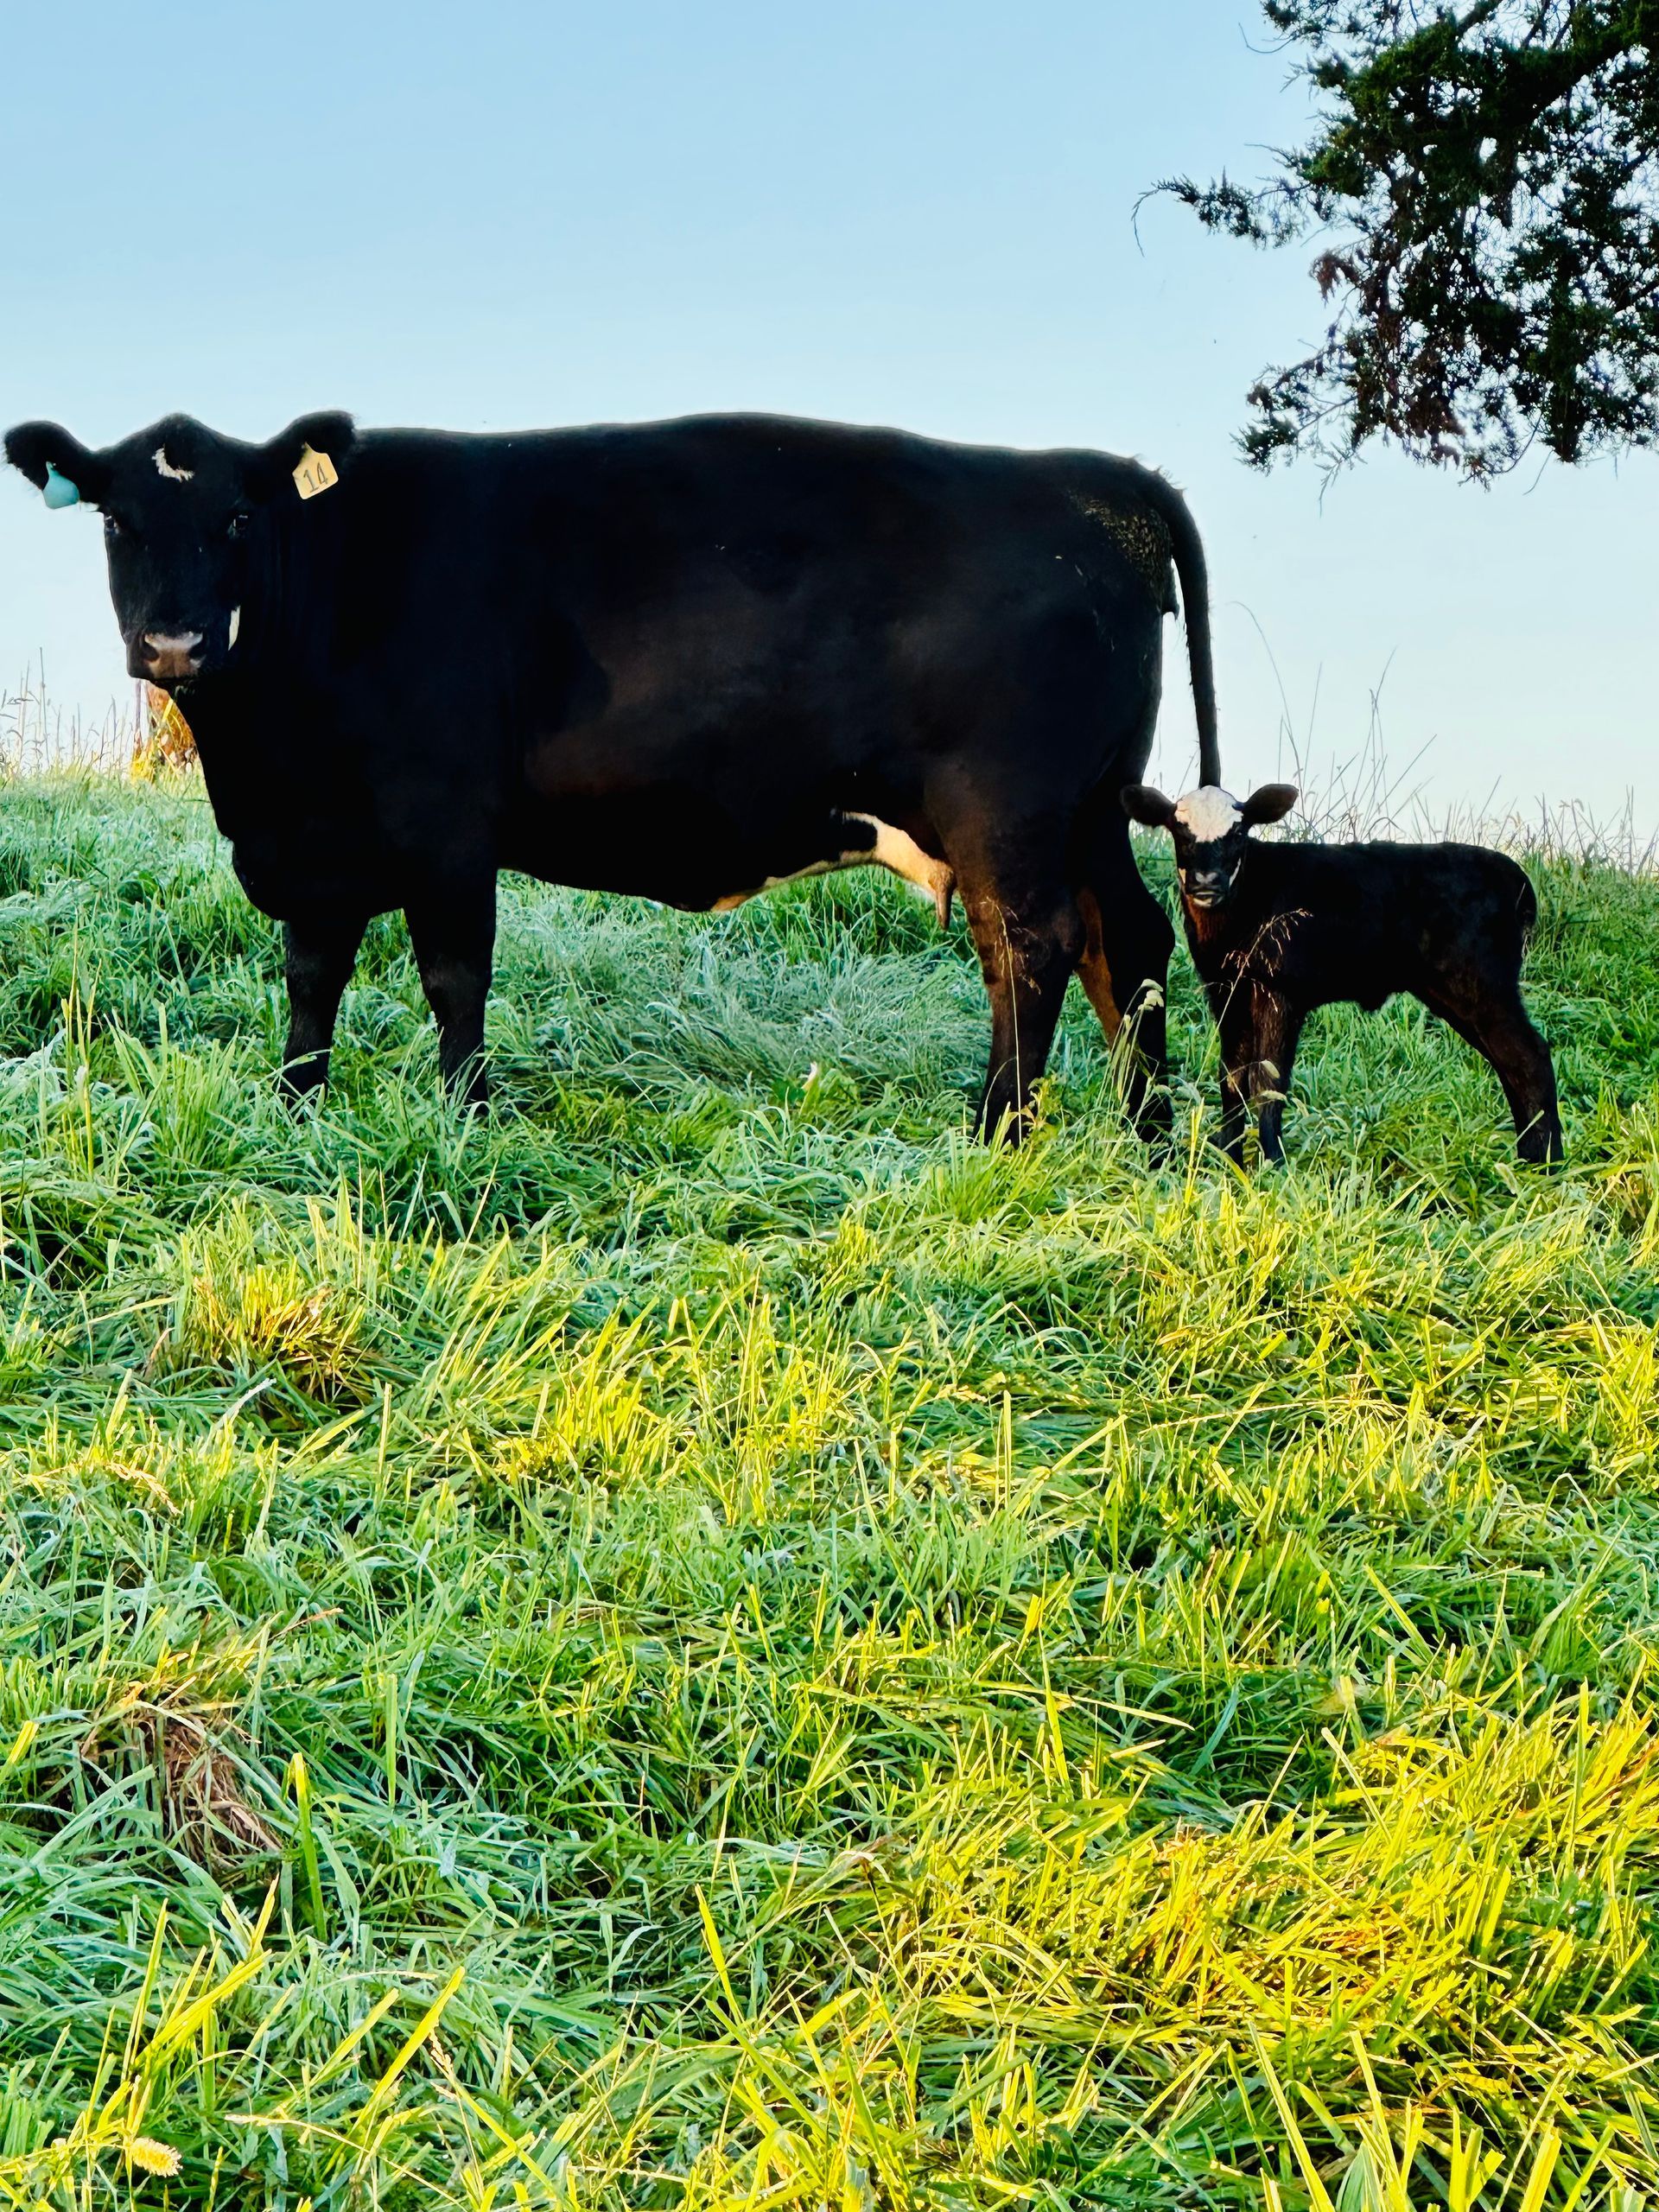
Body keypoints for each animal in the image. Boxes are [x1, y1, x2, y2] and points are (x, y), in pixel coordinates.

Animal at [5, 408, 1222, 1141]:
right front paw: (297, 1106)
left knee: (1031, 945)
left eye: (236, 514)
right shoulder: (319, 843)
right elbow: (314, 976)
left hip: (1008, 814)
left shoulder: (447, 829)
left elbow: (453, 975)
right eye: (117, 518)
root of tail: (1094, 478)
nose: (174, 644)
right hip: (1093, 807)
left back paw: (997, 1131)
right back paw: (1147, 1132)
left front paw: (463, 1117)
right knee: (1129, 939)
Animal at [1121, 780, 1563, 1166]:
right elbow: (1232, 1076)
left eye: (1239, 831)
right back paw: (1527, 1156)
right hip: (1454, 991)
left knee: (1530, 1056)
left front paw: (1272, 1164)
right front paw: (1230, 1159)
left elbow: (1268, 1082)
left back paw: (1547, 1165)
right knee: (1507, 1062)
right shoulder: (1226, 990)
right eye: (1179, 829)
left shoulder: (1280, 990)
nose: (1207, 882)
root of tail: (1518, 880)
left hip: (1482, 982)